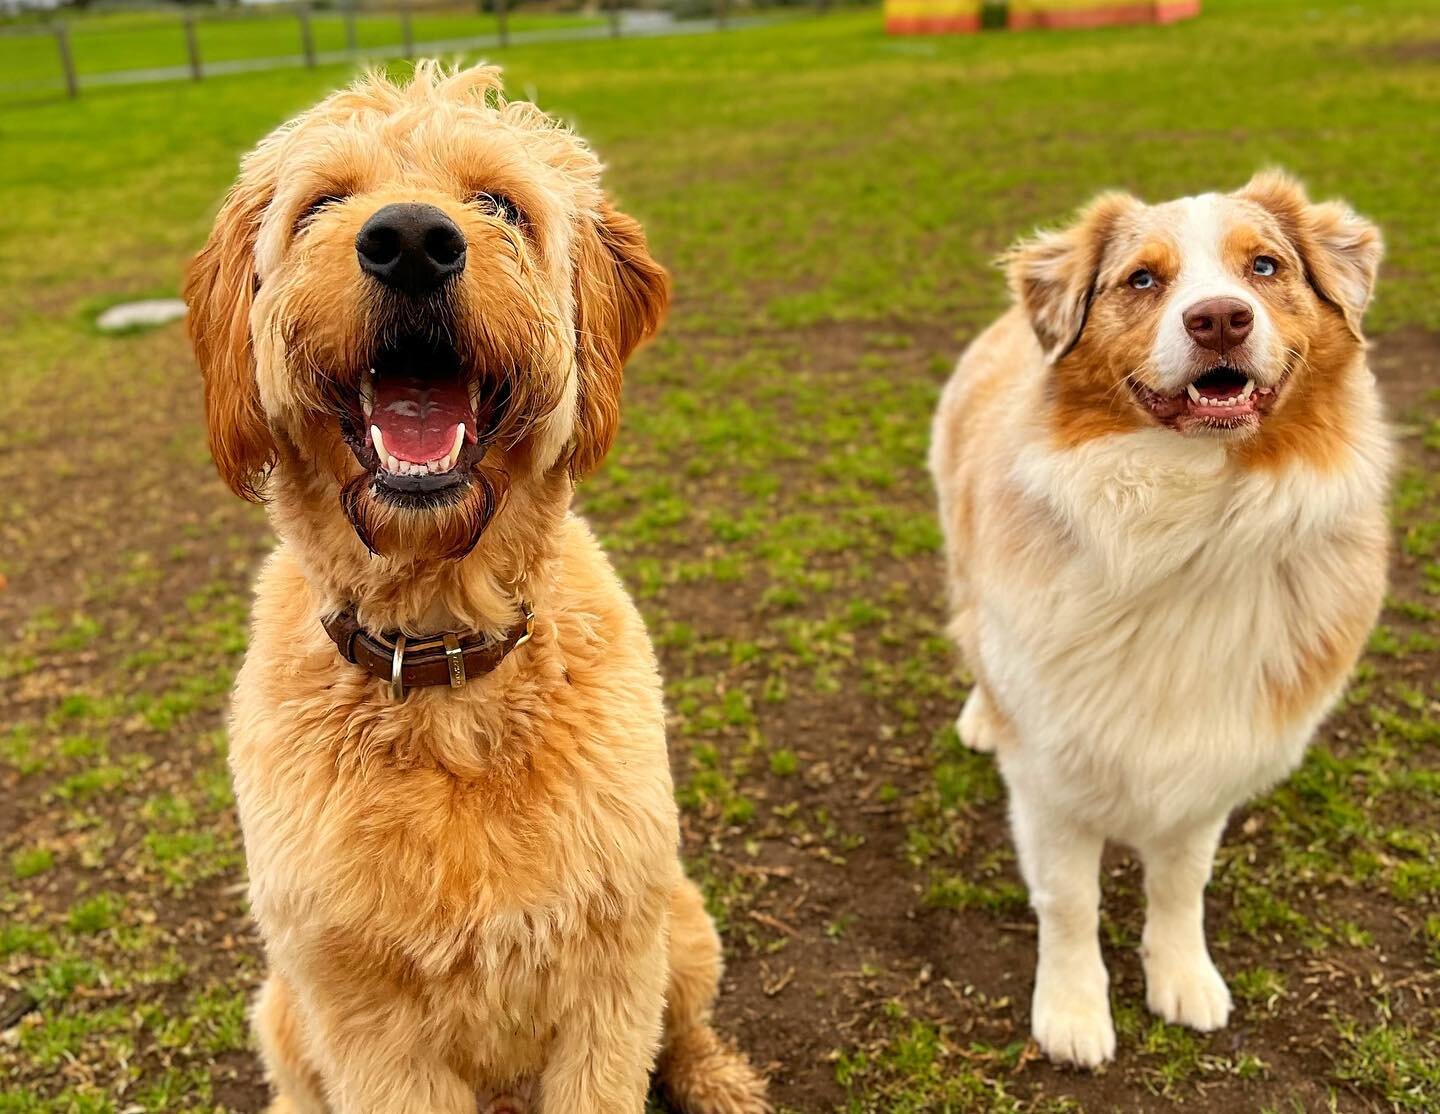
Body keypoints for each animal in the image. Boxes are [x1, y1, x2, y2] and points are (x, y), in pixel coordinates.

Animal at [185, 63, 771, 1114]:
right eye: (321, 204)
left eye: (499, 203)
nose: (413, 241)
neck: (444, 661)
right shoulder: (362, 1015)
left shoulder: (613, 972)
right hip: (284, 1008)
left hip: (683, 924)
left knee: (689, 1025)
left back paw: (718, 1079)